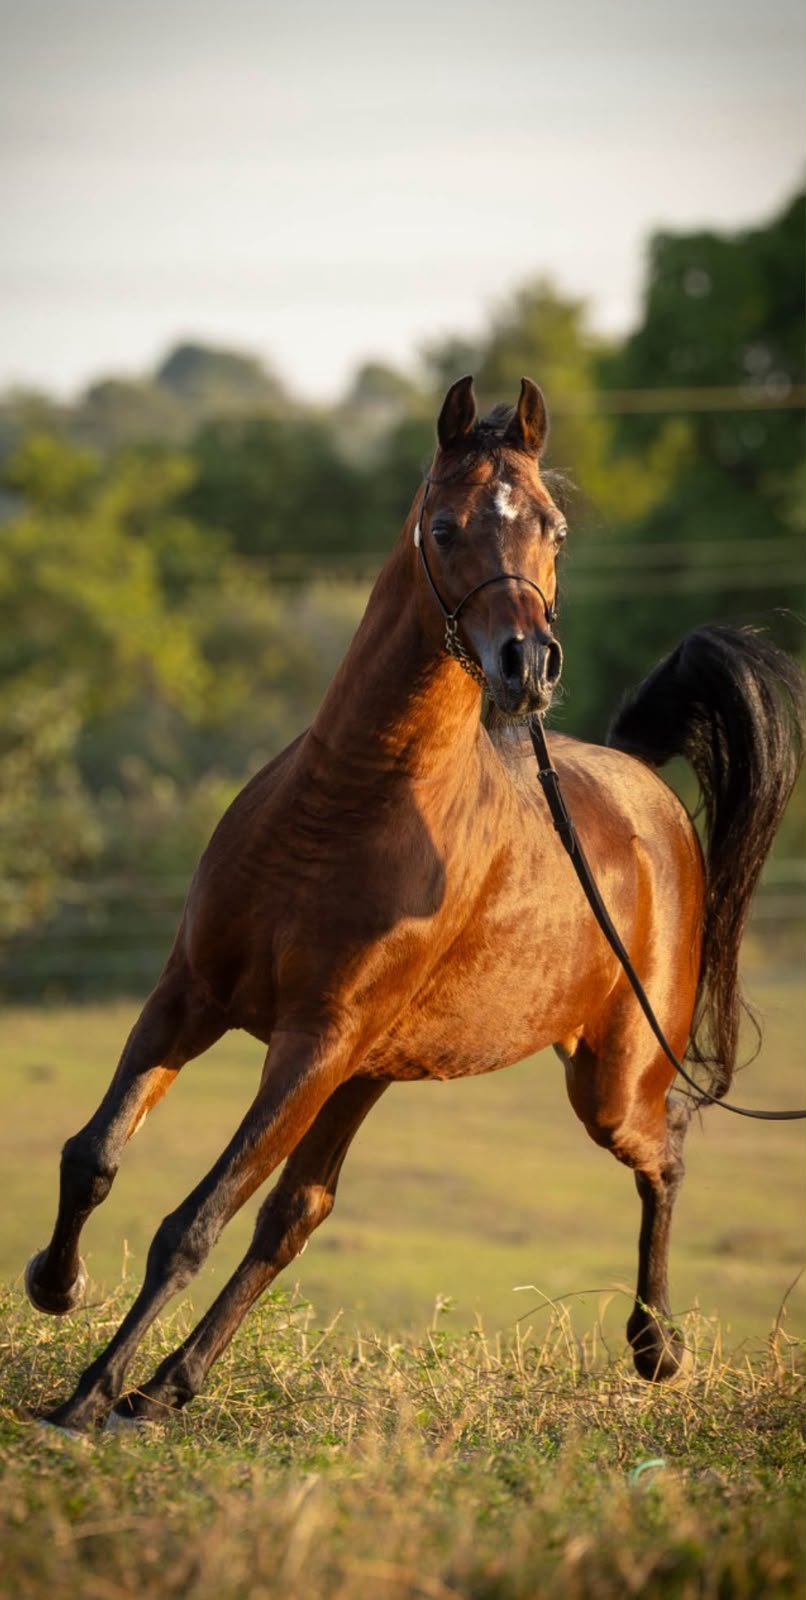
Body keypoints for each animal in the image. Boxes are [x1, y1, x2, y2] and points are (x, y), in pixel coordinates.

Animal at [25, 376, 804, 1434]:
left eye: (555, 530)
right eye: (444, 525)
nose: (529, 665)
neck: (345, 806)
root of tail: (646, 791)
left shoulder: (311, 1044)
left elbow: (192, 1223)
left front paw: (87, 1395)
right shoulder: (192, 997)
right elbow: (95, 1156)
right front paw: (54, 1287)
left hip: (603, 1082)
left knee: (668, 1147)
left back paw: (656, 1350)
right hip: (373, 1070)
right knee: (297, 1214)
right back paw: (169, 1386)